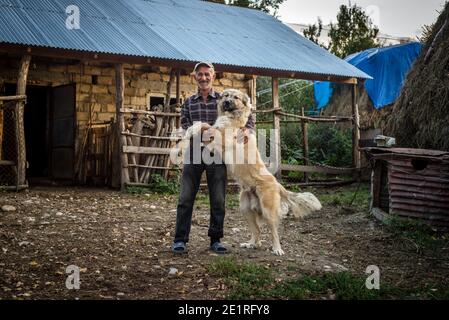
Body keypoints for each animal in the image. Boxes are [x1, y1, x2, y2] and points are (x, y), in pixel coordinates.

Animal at [210, 89, 322, 256]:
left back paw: (277, 249)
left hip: (268, 211)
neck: (232, 117)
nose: (226, 102)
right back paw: (251, 244)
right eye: (225, 96)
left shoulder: (223, 138)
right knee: (257, 231)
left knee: (274, 232)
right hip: (245, 209)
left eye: (235, 97)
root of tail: (277, 184)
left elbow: (206, 128)